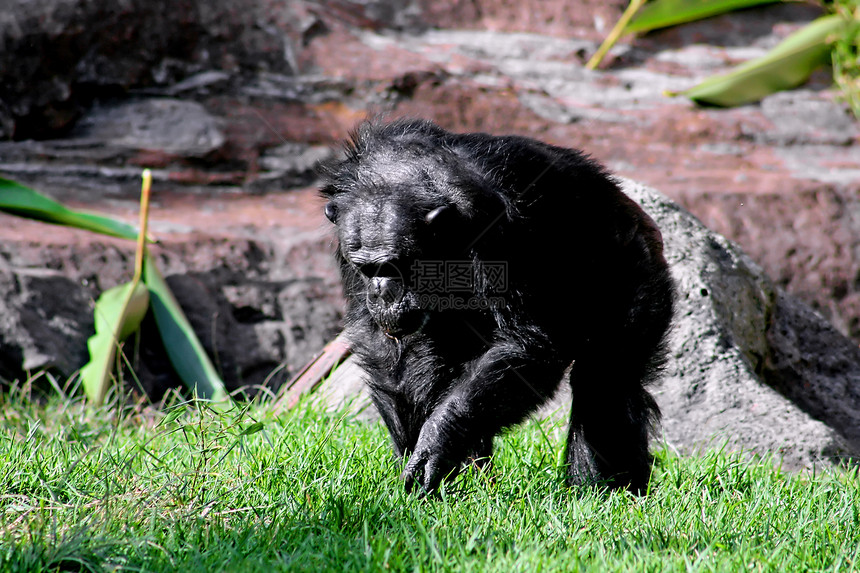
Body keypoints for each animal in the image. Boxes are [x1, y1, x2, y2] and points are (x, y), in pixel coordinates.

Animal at [320, 117, 676, 492]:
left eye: (395, 266)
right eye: (368, 269)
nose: (381, 291)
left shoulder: (494, 221)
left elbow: (526, 343)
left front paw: (435, 441)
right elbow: (386, 350)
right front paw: (416, 451)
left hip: (635, 272)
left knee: (606, 377)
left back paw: (603, 490)